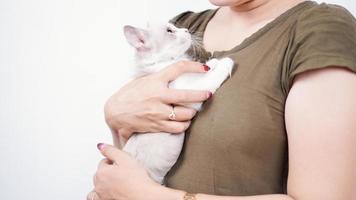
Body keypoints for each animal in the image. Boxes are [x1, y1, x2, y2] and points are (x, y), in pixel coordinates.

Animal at [121, 22, 235, 184]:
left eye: (175, 27)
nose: (186, 30)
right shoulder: (193, 90)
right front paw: (225, 62)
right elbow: (211, 76)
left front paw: (211, 63)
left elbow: (204, 70)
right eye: (170, 31)